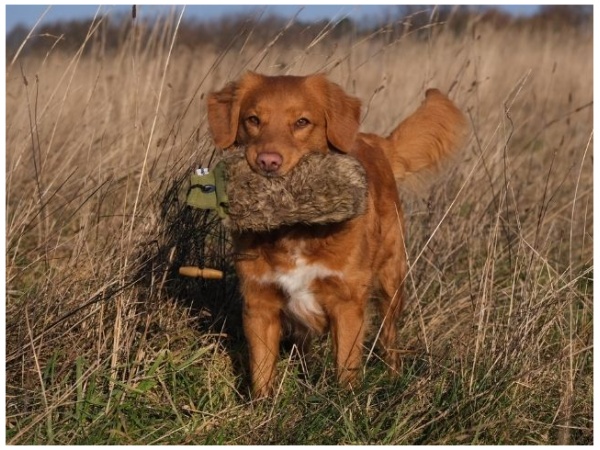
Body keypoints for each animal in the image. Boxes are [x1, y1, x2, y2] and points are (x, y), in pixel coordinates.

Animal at [207, 72, 468, 396]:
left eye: (302, 122)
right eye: (253, 119)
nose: (268, 161)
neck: (293, 229)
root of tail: (378, 142)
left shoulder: (347, 303)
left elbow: (345, 367)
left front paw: (346, 402)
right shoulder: (259, 305)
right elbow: (261, 373)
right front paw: (263, 405)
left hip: (391, 281)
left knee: (390, 339)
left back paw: (394, 379)